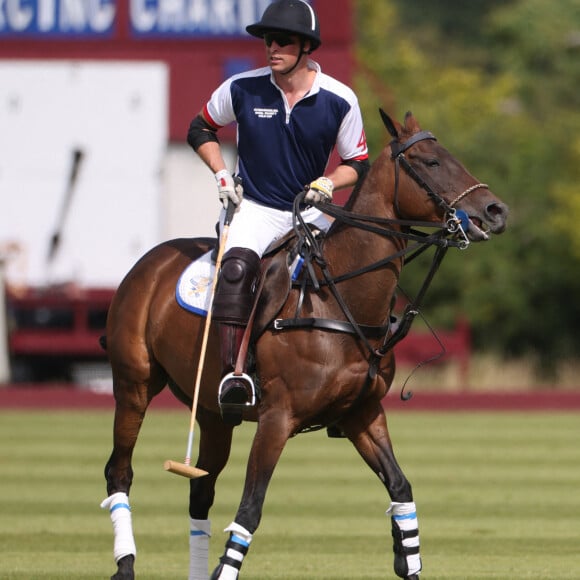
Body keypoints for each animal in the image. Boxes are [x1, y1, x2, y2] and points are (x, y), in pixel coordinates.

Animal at [103, 110, 508, 580]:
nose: (496, 210)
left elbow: (401, 488)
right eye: (431, 162)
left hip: (213, 412)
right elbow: (249, 510)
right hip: (134, 383)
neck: (340, 297)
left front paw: (406, 556)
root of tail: (148, 263)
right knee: (119, 471)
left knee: (201, 488)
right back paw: (125, 564)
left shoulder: (362, 413)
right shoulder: (278, 418)